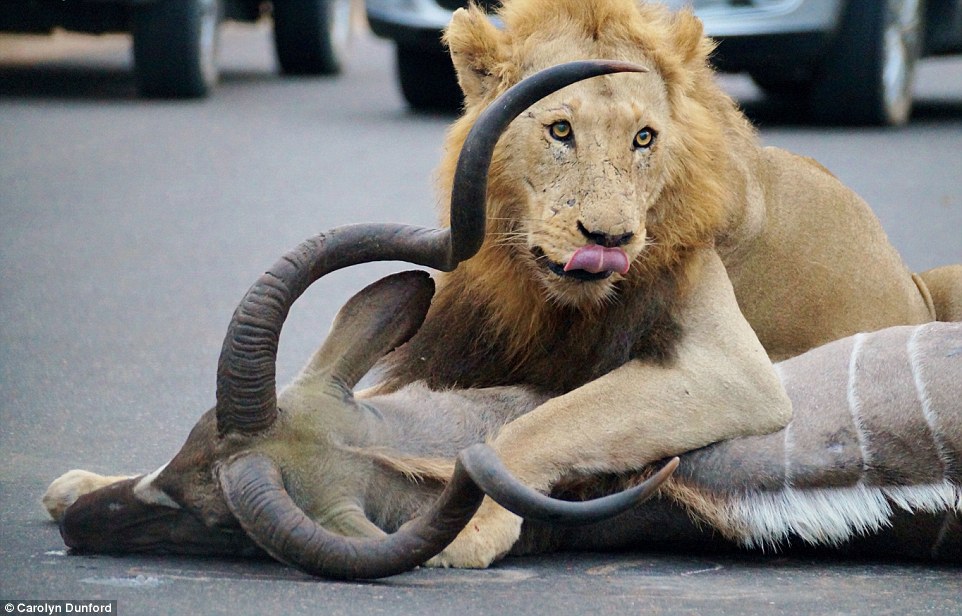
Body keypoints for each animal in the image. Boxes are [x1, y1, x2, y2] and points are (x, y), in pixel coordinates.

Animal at [372, 0, 956, 568]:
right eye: (560, 130)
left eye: (643, 138)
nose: (610, 238)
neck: (541, 295)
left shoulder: (733, 370)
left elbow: (545, 420)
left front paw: (472, 525)